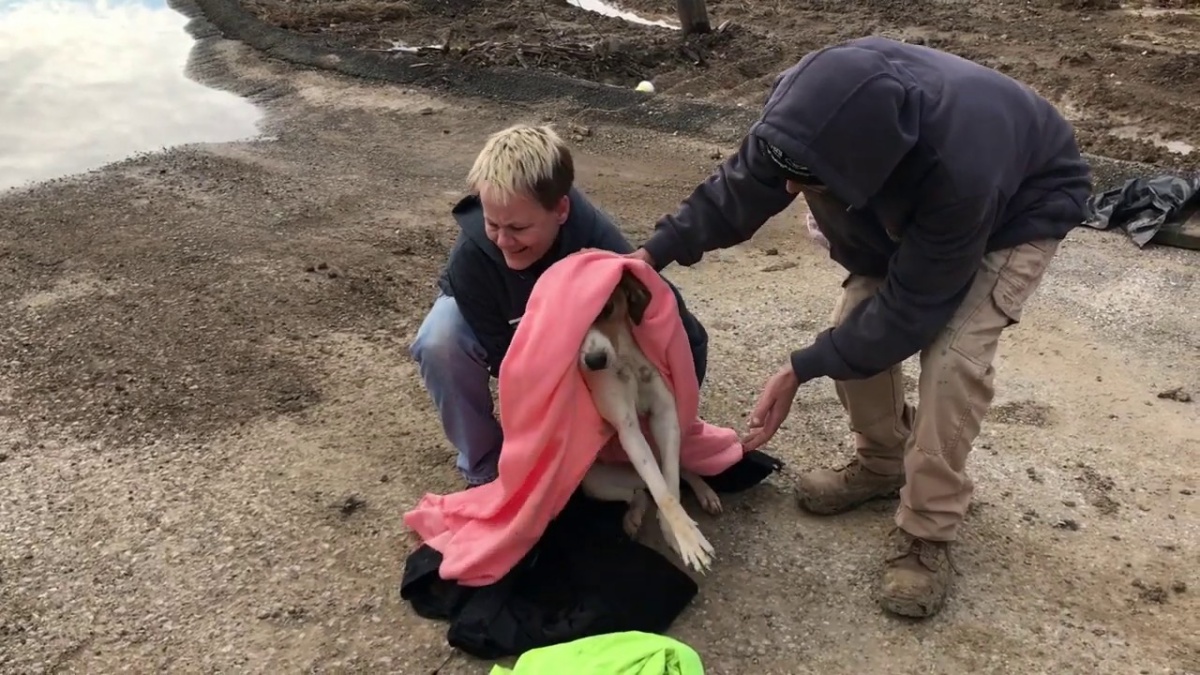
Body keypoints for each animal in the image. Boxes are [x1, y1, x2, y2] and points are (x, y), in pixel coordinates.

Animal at [580, 267, 720, 571]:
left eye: (607, 308)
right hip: (593, 481)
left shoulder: (665, 416)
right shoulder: (628, 428)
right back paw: (634, 514)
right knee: (640, 493)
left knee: (680, 470)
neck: (626, 359)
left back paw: (705, 492)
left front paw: (676, 534)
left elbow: (671, 485)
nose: (594, 361)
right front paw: (685, 537)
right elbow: (662, 492)